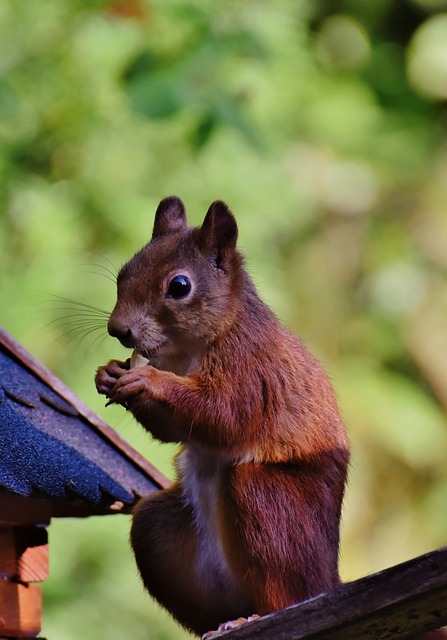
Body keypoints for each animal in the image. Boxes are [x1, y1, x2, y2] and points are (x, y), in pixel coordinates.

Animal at [96, 198, 352, 636]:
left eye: (179, 287)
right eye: (123, 273)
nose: (119, 330)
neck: (187, 350)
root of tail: (328, 579)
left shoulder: (251, 365)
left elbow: (227, 415)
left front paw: (148, 379)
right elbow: (177, 429)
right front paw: (109, 372)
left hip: (269, 503)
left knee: (288, 594)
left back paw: (259, 616)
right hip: (158, 530)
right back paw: (222, 624)